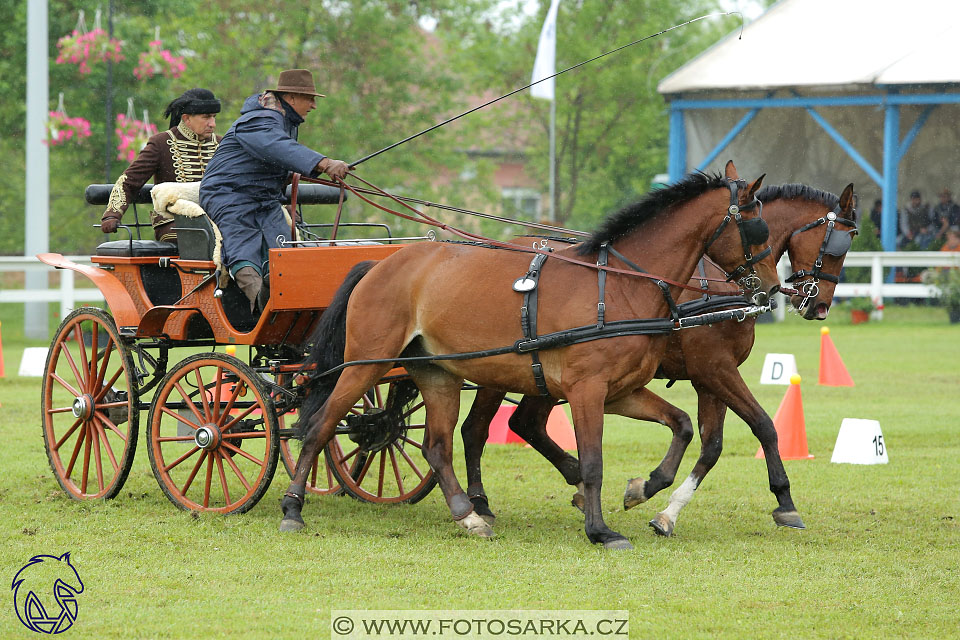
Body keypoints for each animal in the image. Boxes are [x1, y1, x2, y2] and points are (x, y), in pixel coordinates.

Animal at [282, 162, 784, 548]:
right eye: (755, 225)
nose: (772, 288)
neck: (620, 285)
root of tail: (380, 263)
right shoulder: (587, 390)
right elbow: (594, 461)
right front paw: (600, 530)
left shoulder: (620, 390)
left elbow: (680, 425)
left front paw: (643, 489)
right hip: (366, 365)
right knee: (320, 426)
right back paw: (292, 506)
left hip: (438, 375)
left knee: (436, 447)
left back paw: (469, 515)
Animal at [462, 182, 860, 536]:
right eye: (840, 243)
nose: (820, 306)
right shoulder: (714, 368)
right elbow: (763, 425)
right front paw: (785, 501)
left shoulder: (707, 377)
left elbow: (711, 445)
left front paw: (667, 511)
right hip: (504, 370)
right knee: (476, 429)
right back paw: (480, 503)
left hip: (543, 376)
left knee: (524, 423)